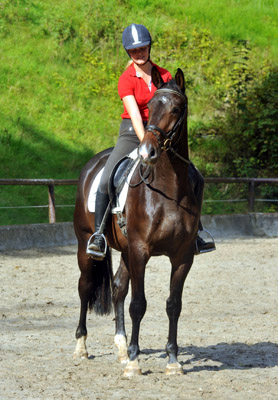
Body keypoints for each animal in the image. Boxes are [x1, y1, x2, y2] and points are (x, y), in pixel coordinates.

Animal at [73, 67, 201, 376]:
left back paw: (120, 346)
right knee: (85, 287)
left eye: (176, 108)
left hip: (125, 250)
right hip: (86, 244)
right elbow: (138, 305)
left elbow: (173, 305)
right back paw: (82, 346)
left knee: (118, 287)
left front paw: (173, 360)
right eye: (149, 107)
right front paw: (134, 361)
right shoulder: (141, 250)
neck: (168, 190)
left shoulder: (183, 256)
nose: (146, 153)